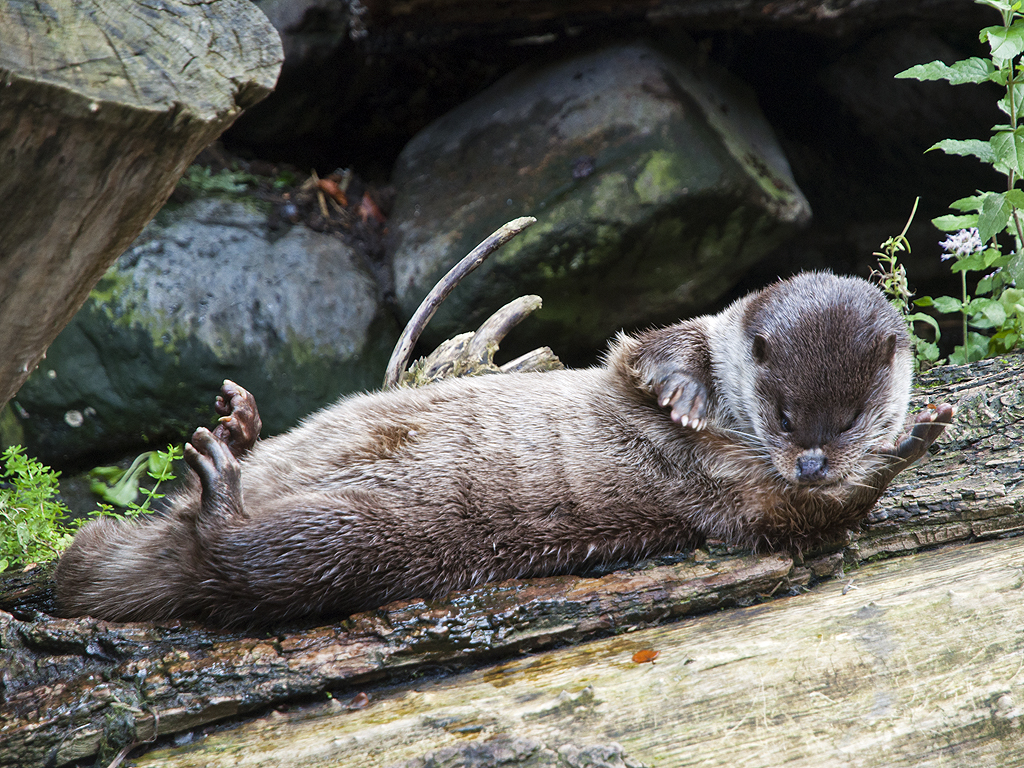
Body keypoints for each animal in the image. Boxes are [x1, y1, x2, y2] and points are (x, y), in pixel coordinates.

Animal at [54, 274, 950, 626]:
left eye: (851, 421)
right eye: (789, 416)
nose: (811, 462)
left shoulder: (735, 502)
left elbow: (804, 520)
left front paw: (907, 443)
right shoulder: (649, 348)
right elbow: (646, 351)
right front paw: (684, 391)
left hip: (353, 538)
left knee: (234, 563)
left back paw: (222, 482)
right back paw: (238, 428)